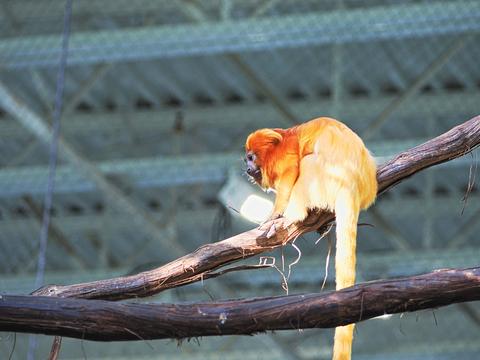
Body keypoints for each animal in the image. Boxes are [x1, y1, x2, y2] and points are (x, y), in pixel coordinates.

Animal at [246, 116, 376, 360]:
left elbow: (290, 175)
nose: (246, 168)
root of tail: (351, 185)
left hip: (326, 178)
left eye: (251, 157)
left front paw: (275, 214)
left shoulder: (286, 156)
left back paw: (292, 215)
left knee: (308, 164)